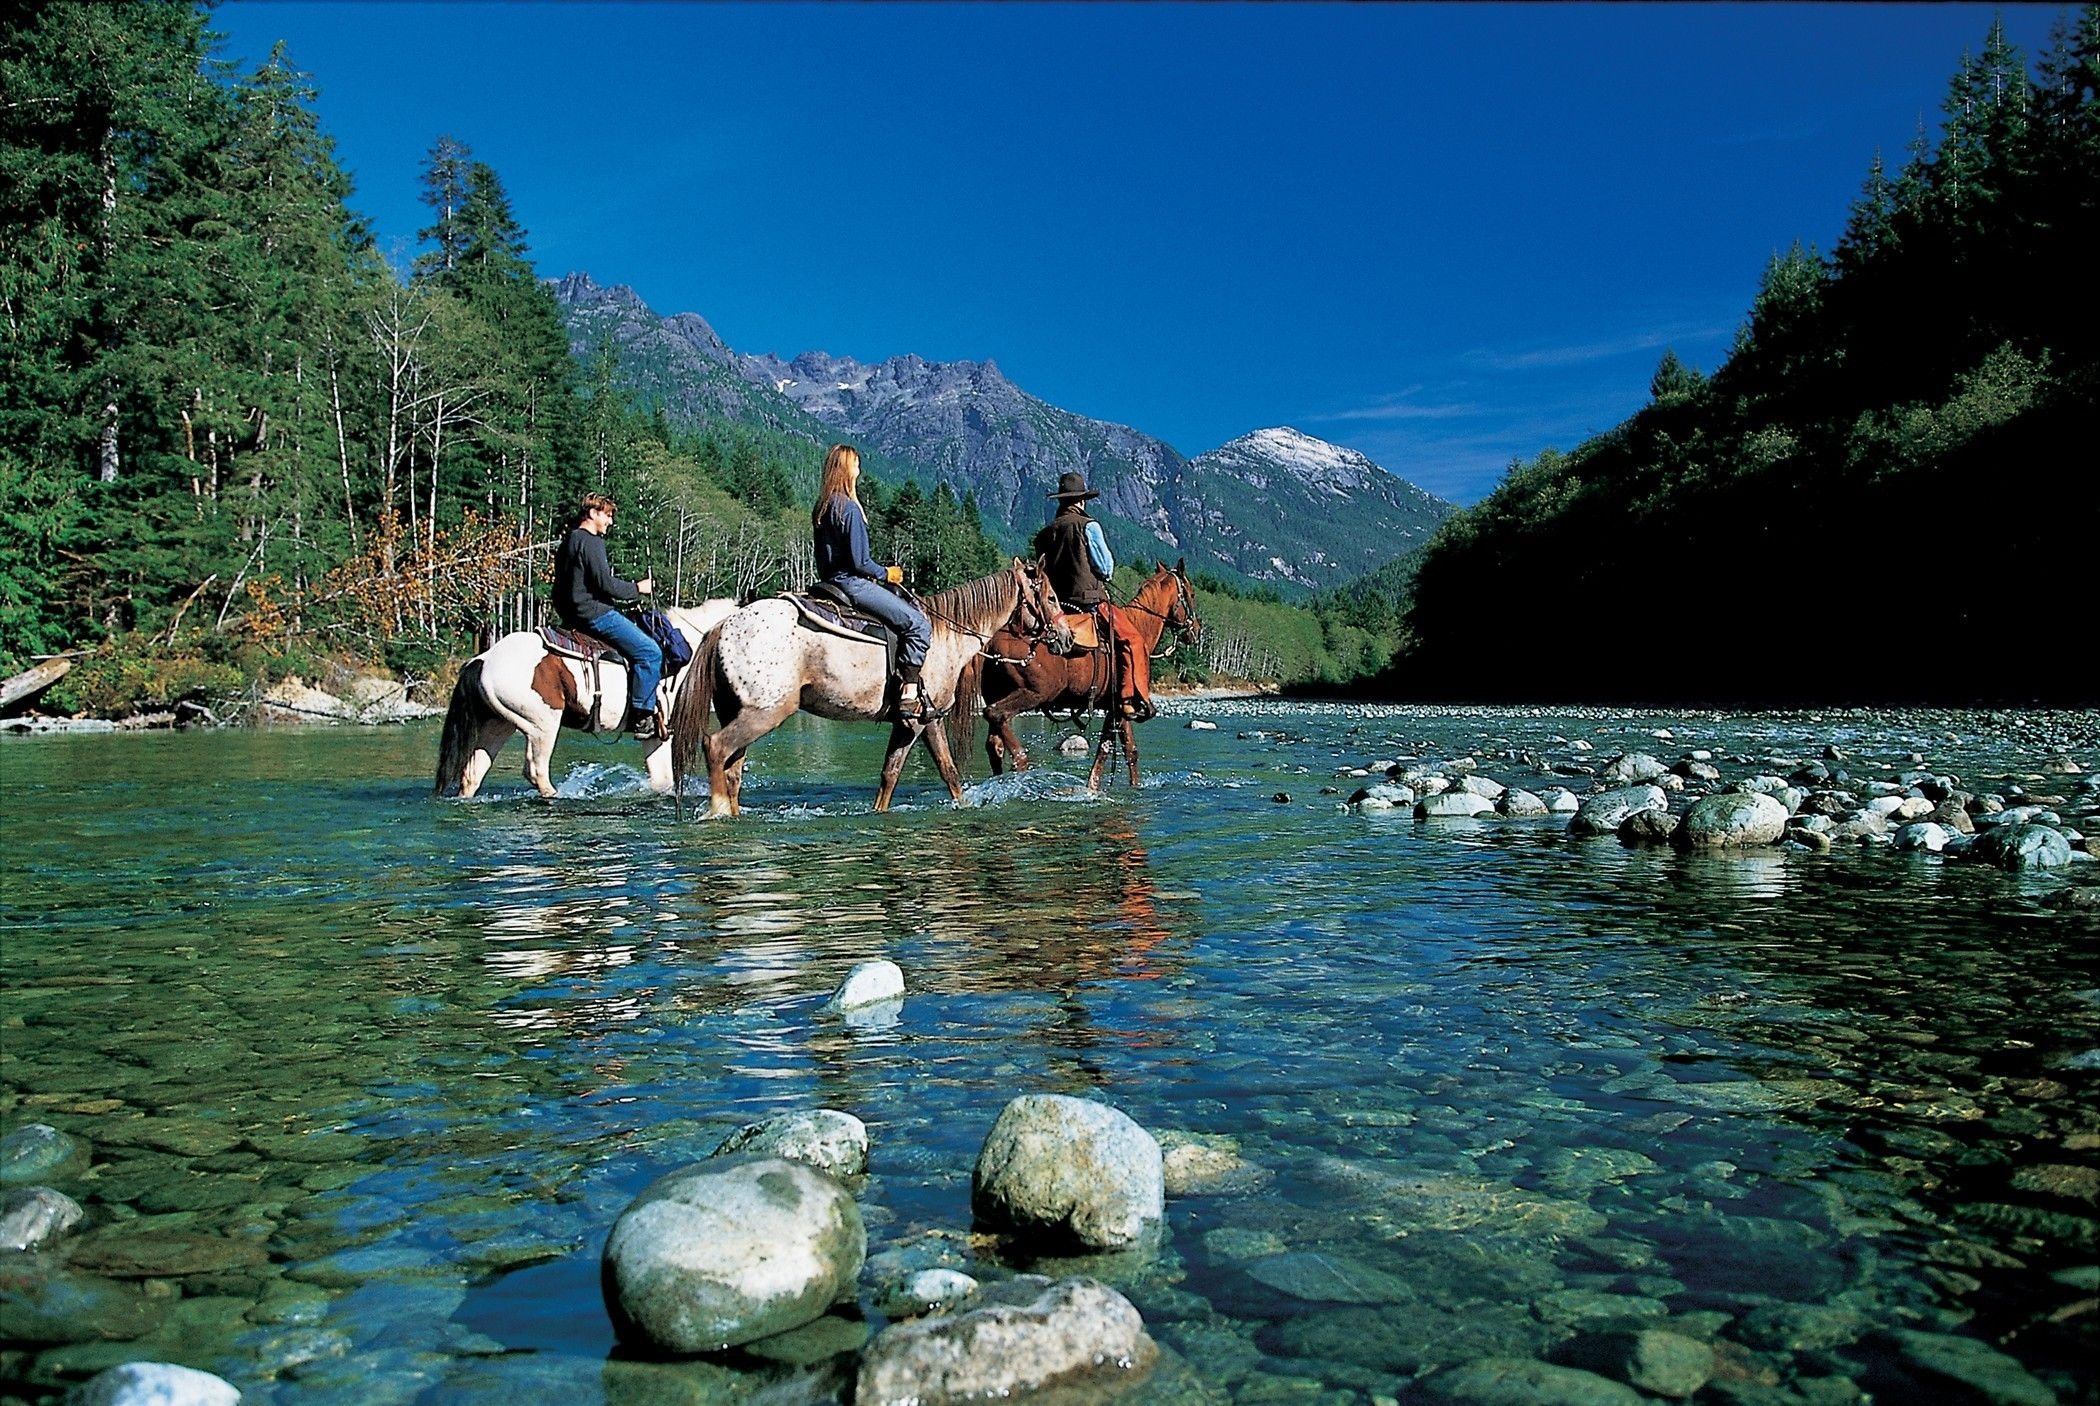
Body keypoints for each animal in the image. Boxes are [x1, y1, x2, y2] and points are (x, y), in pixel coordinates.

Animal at [426, 604, 739, 805]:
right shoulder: (665, 730)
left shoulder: (653, 734)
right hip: (542, 725)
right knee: (536, 771)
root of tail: (484, 658)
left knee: (472, 774)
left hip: (498, 725)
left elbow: (661, 781)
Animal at [965, 562, 1201, 793]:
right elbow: (1106, 751)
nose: (1196, 632)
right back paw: (1021, 765)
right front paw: (1094, 788)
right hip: (1033, 694)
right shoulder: (1119, 708)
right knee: (996, 715)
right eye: (1191, 593)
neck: (1139, 625)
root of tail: (994, 638)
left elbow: (1129, 751)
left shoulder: (1118, 707)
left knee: (994, 744)